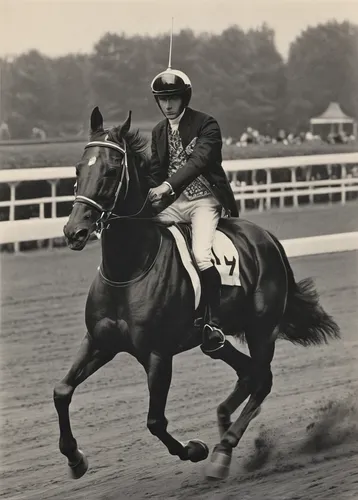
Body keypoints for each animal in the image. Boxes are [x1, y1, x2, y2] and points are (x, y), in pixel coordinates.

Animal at [54, 108, 340, 480]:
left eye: (112, 169)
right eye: (78, 168)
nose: (75, 231)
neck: (130, 270)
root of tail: (267, 239)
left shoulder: (158, 355)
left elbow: (155, 421)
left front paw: (195, 449)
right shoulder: (100, 341)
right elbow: (62, 391)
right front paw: (75, 458)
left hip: (261, 328)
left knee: (262, 378)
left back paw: (223, 449)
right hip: (219, 338)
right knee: (247, 372)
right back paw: (223, 420)